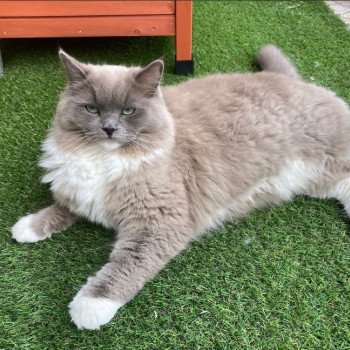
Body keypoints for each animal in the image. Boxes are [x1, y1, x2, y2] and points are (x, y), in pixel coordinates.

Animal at [10, 45, 350, 330]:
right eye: (91, 109)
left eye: (128, 111)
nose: (108, 128)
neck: (104, 158)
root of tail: (287, 79)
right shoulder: (80, 193)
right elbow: (61, 208)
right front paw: (28, 227)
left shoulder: (159, 222)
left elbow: (125, 267)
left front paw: (90, 306)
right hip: (315, 178)